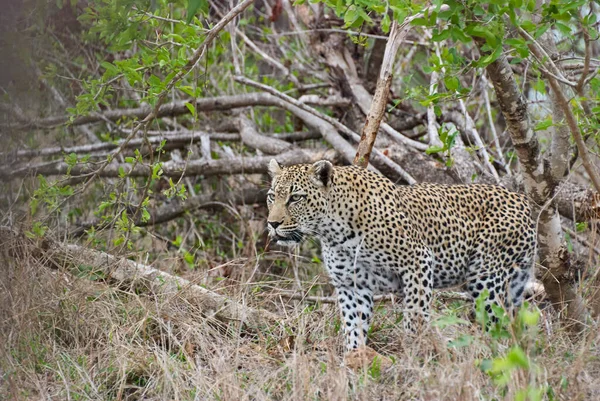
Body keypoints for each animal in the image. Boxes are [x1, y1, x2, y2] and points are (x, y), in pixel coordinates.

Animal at [264, 159, 536, 350]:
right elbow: (353, 327)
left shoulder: (418, 261)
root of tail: (523, 199)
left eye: (295, 198)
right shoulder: (351, 285)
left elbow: (415, 314)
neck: (332, 231)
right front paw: (354, 361)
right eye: (271, 196)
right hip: (514, 284)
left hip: (486, 279)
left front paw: (415, 354)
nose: (272, 224)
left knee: (496, 323)